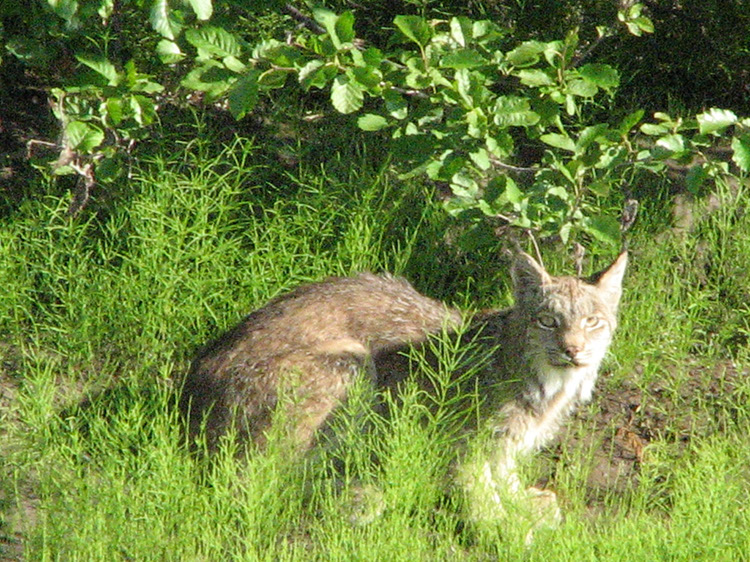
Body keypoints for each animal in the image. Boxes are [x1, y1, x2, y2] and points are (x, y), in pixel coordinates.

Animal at [180, 250, 627, 526]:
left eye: (592, 322)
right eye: (547, 321)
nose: (573, 350)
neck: (546, 380)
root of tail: (188, 392)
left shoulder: (504, 444)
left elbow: (504, 473)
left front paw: (520, 504)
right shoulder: (459, 441)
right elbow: (476, 487)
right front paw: (503, 526)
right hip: (353, 361)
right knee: (250, 480)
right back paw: (362, 493)